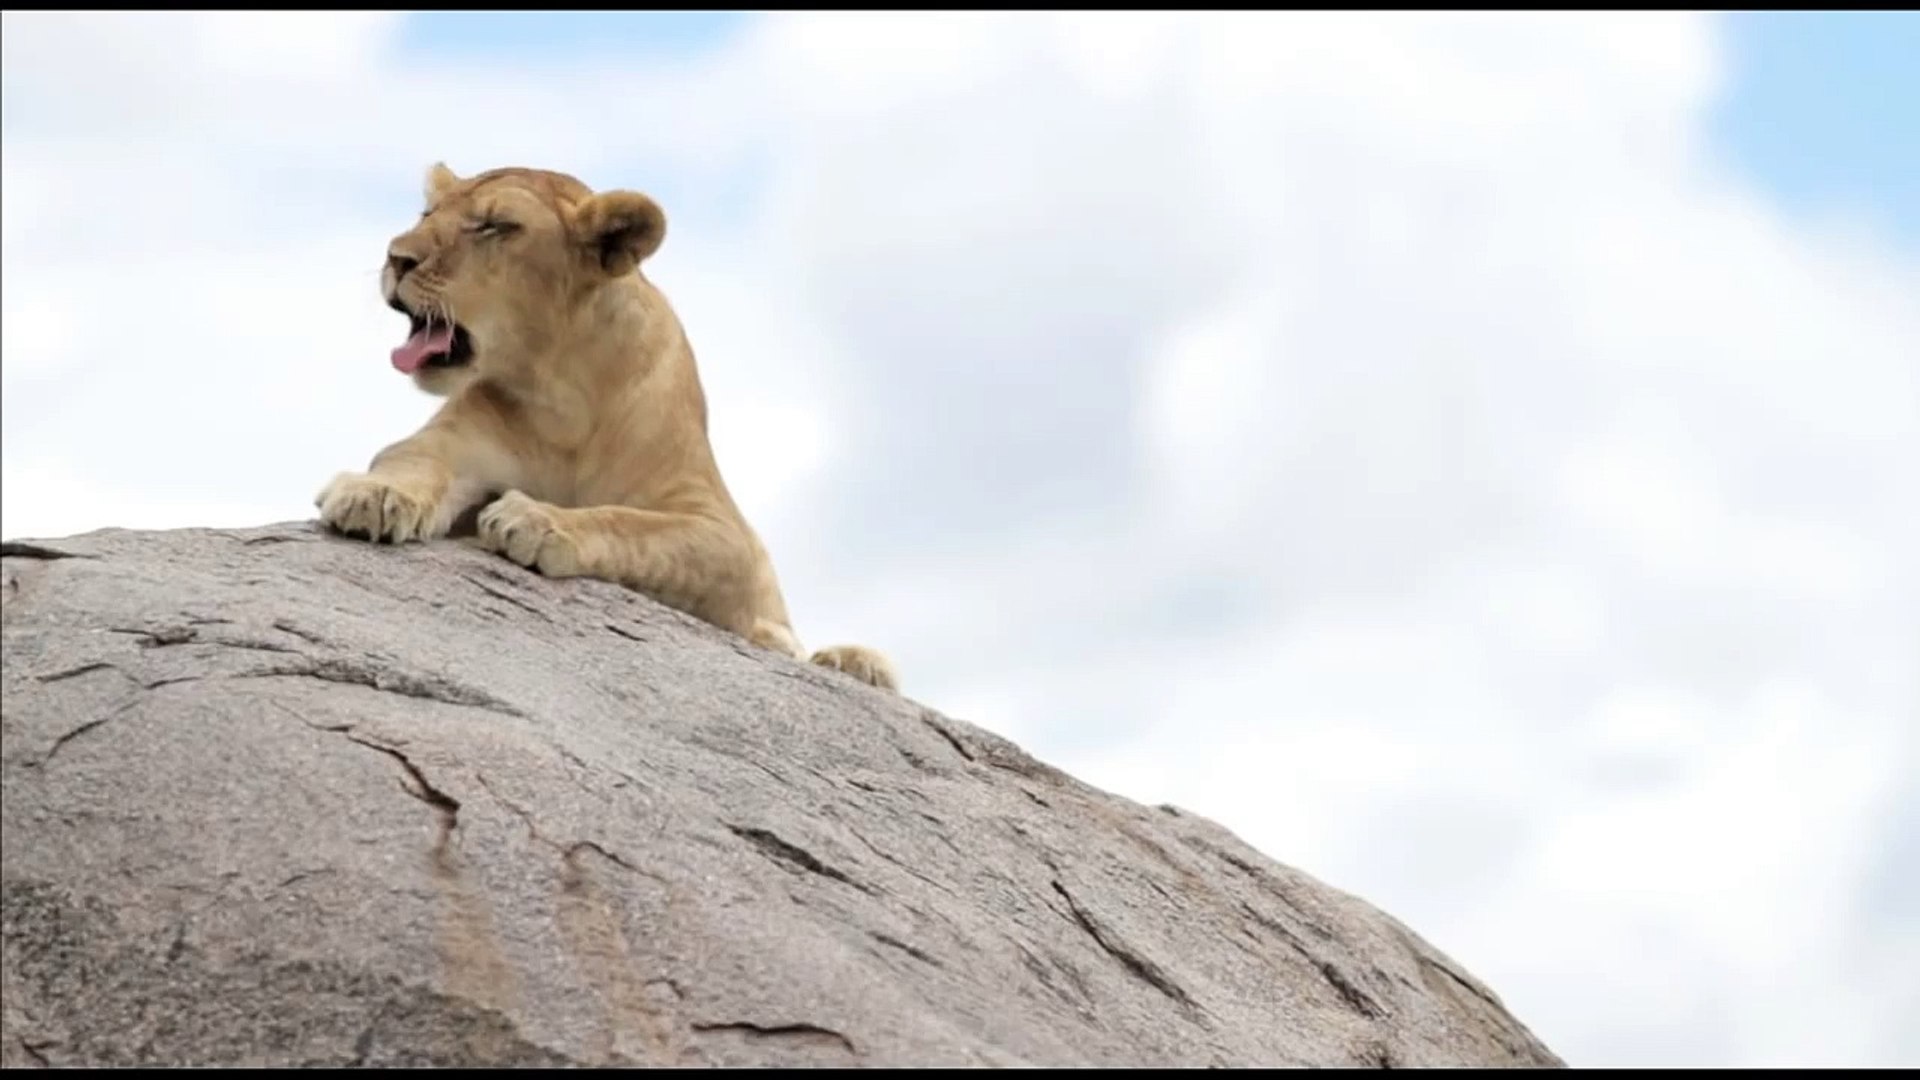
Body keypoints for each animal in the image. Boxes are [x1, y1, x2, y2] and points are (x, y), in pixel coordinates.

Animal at [312, 165, 898, 691]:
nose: (396, 257)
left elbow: (632, 524)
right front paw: (375, 496)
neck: (561, 389)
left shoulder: (726, 533)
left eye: (494, 226)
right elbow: (409, 463)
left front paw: (538, 520)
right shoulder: (450, 444)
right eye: (427, 214)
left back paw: (855, 663)